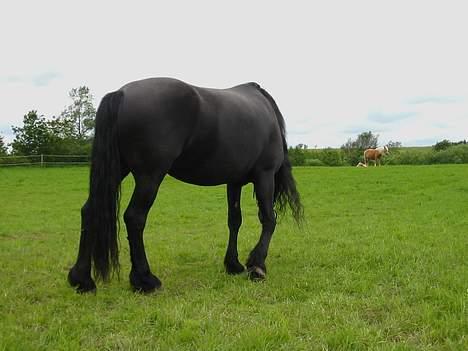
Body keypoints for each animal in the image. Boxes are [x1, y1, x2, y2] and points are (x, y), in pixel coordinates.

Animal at [68, 77, 304, 294]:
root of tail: (122, 93)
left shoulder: (233, 181)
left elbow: (234, 221)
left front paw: (233, 264)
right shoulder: (265, 175)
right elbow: (269, 219)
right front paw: (257, 266)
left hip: (119, 169)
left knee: (90, 211)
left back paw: (82, 279)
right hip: (150, 176)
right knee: (134, 217)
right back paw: (145, 280)